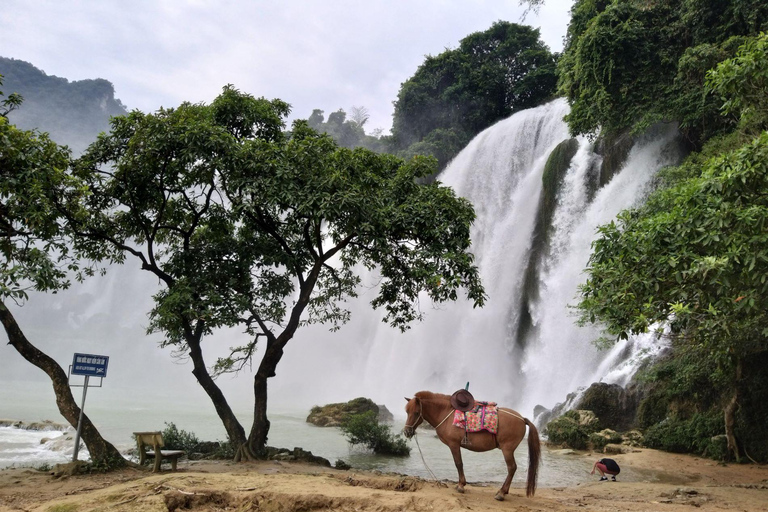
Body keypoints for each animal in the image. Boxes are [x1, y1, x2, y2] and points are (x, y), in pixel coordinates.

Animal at [402, 392, 540, 500]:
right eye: (407, 411)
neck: (447, 414)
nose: (407, 432)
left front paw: (461, 485)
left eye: (416, 412)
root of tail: (522, 419)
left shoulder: (454, 445)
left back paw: (501, 493)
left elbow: (458, 463)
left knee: (512, 468)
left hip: (507, 450)